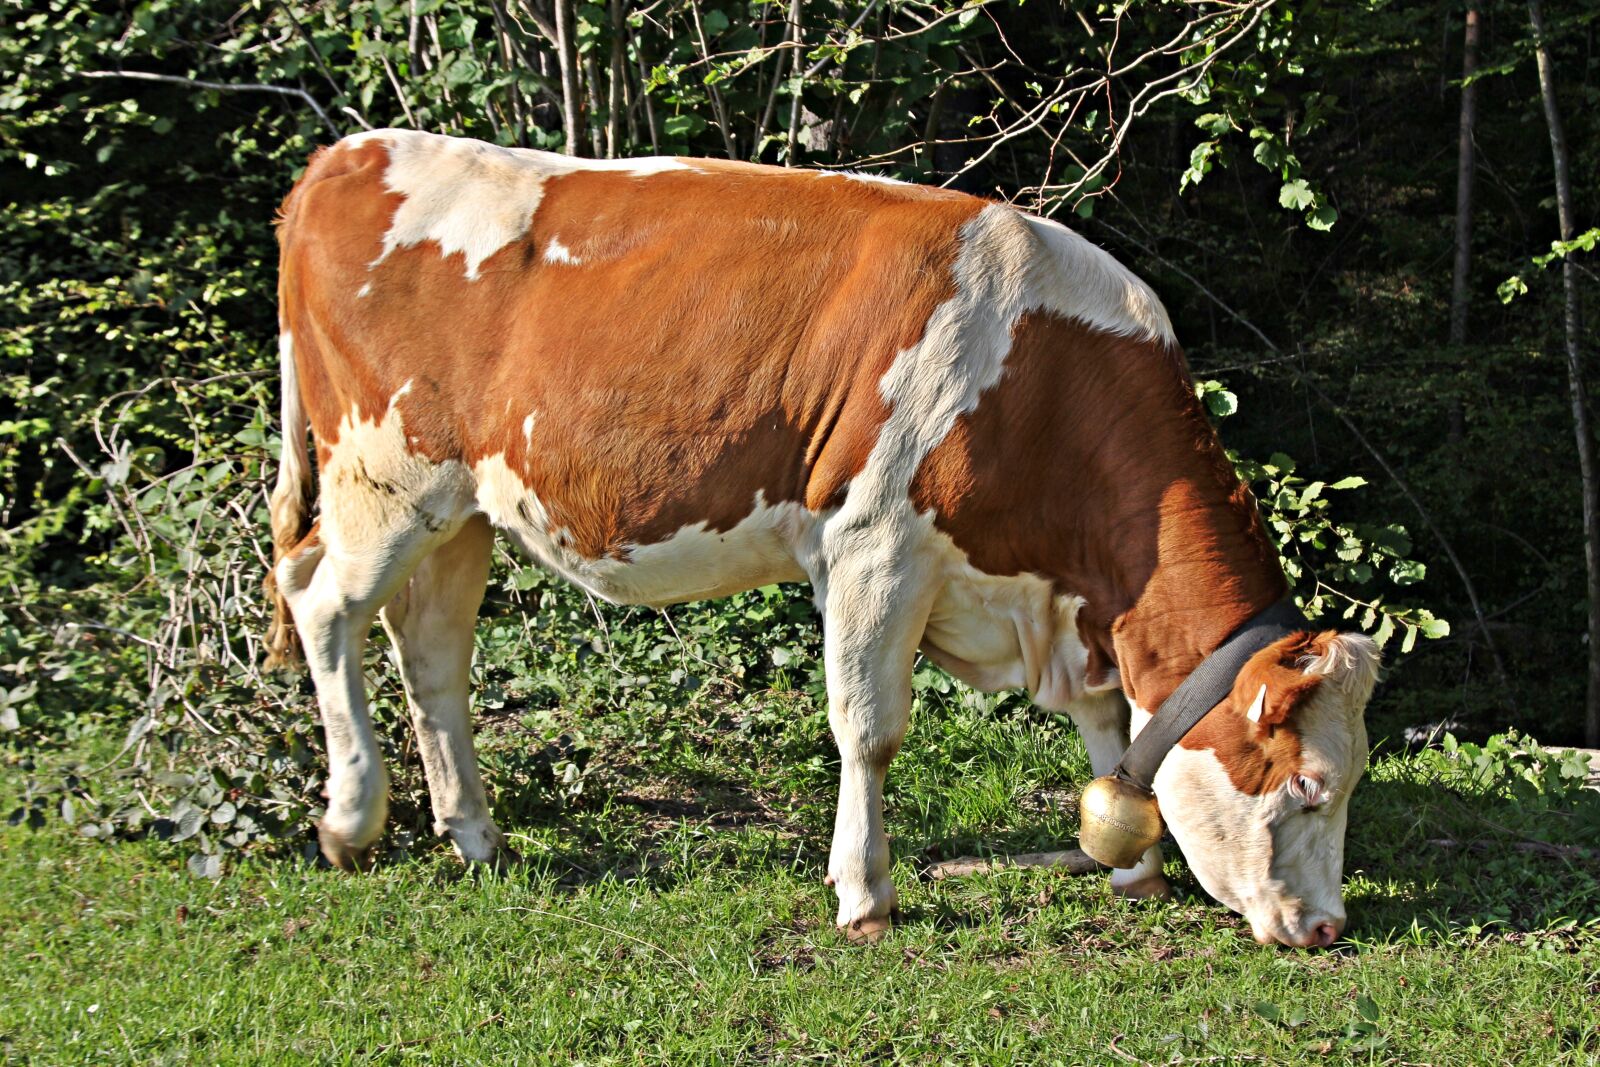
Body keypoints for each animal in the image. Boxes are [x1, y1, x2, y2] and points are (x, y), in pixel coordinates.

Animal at [268, 127, 1382, 953]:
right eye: (1310, 784)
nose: (1327, 927)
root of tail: (349, 152)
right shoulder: (875, 541)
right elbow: (869, 726)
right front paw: (863, 893)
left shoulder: (1055, 597)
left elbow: (1110, 724)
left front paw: (1133, 868)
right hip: (384, 476)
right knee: (322, 602)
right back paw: (350, 821)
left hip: (460, 508)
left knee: (432, 652)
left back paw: (474, 834)